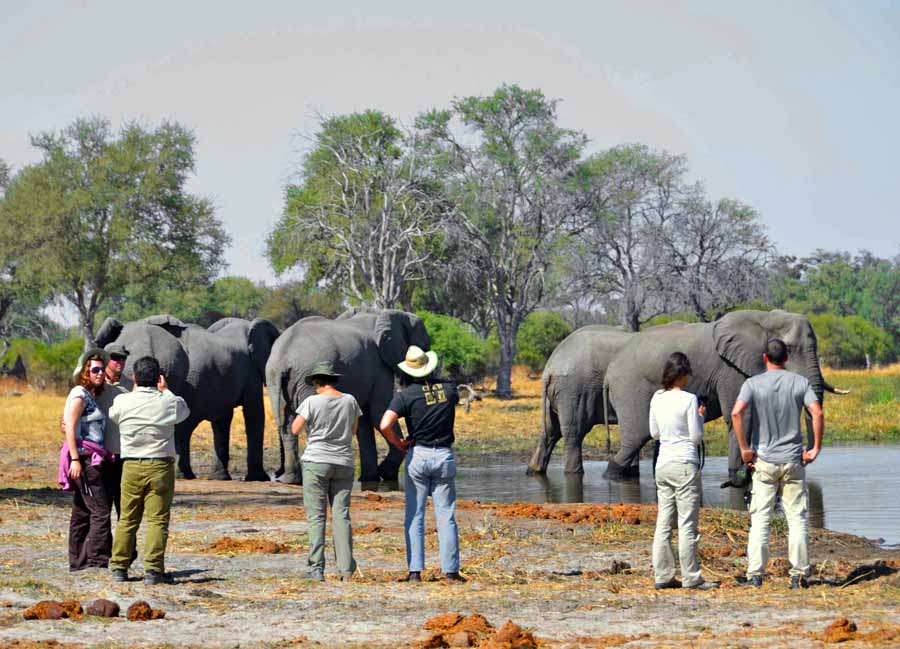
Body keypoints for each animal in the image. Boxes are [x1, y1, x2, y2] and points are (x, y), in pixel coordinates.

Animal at [94, 314, 278, 480]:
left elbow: (224, 420)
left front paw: (222, 477)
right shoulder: (251, 374)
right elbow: (254, 415)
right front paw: (259, 479)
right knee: (183, 425)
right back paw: (182, 474)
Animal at [266, 306, 430, 484]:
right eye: (424, 349)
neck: (384, 313)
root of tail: (283, 358)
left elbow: (364, 418)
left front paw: (369, 479)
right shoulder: (379, 367)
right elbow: (379, 412)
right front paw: (386, 475)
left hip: (275, 380)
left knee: (286, 424)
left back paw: (290, 480)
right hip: (309, 377)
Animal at [596, 308, 844, 480]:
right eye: (788, 349)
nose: (806, 457)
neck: (764, 318)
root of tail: (610, 371)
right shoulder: (730, 369)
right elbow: (742, 417)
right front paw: (739, 476)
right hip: (630, 387)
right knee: (637, 437)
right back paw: (611, 475)